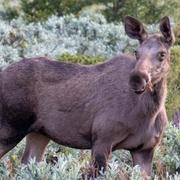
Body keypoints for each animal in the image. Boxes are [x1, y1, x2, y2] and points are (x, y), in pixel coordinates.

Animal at [0, 16, 174, 177]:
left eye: (162, 54)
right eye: (136, 52)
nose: (137, 79)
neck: (149, 113)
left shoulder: (145, 149)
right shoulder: (102, 140)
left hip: (39, 133)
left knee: (27, 163)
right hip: (10, 128)